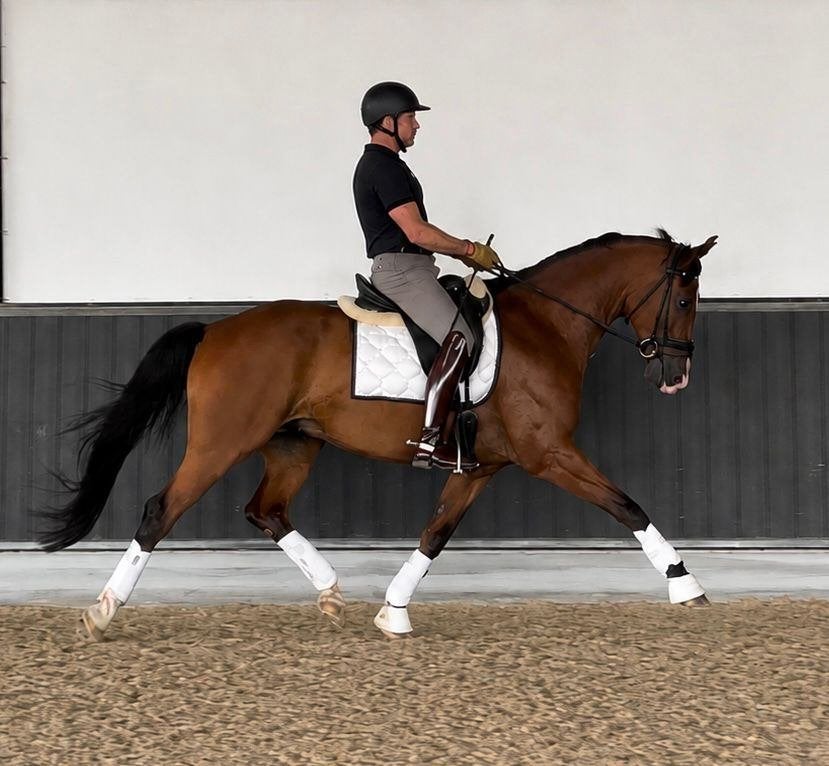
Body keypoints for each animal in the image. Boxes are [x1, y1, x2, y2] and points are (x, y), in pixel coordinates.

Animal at [39, 229, 718, 641]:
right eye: (686, 299)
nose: (677, 376)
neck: (547, 324)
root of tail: (214, 330)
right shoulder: (547, 453)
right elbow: (627, 505)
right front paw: (685, 584)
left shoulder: (482, 466)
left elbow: (435, 533)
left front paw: (393, 612)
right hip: (220, 444)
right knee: (161, 510)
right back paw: (102, 611)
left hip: (294, 442)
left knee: (265, 510)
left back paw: (332, 591)